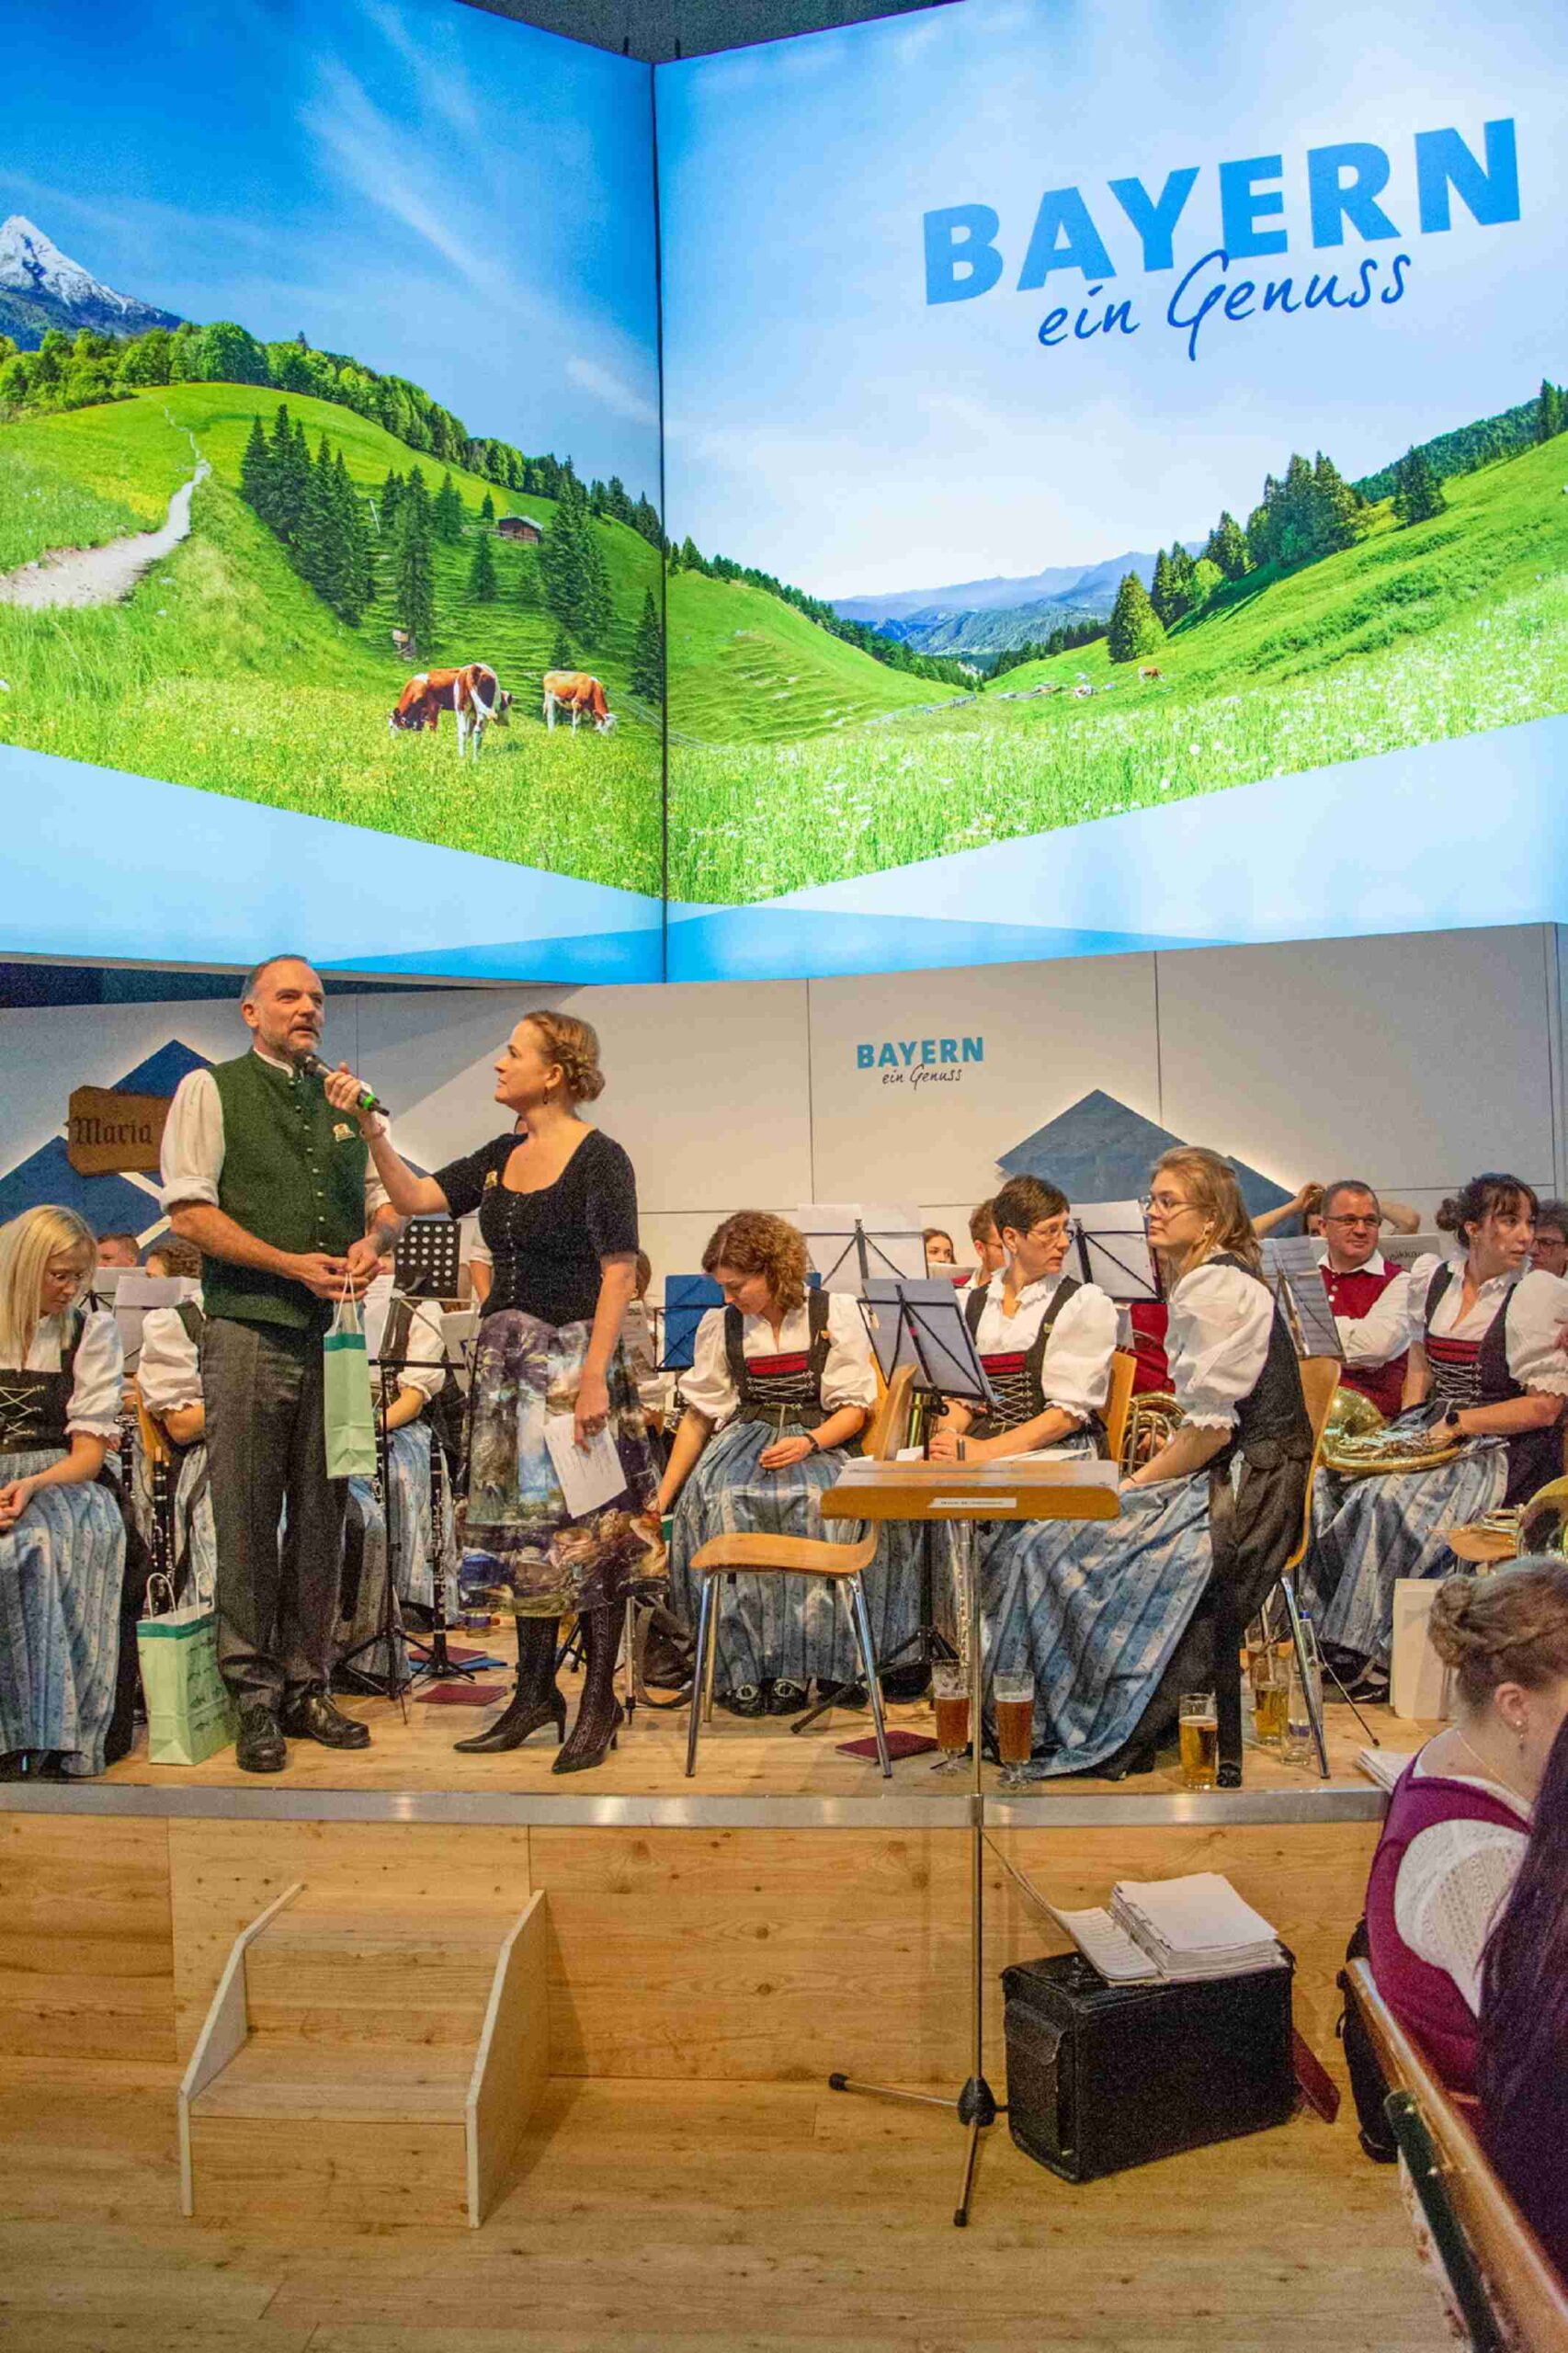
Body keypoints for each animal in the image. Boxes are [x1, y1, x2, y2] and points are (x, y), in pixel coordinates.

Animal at [388, 663, 512, 760]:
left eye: (392, 726)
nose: (392, 741)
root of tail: (475, 667)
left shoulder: (432, 707)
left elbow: (430, 727)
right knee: (474, 731)